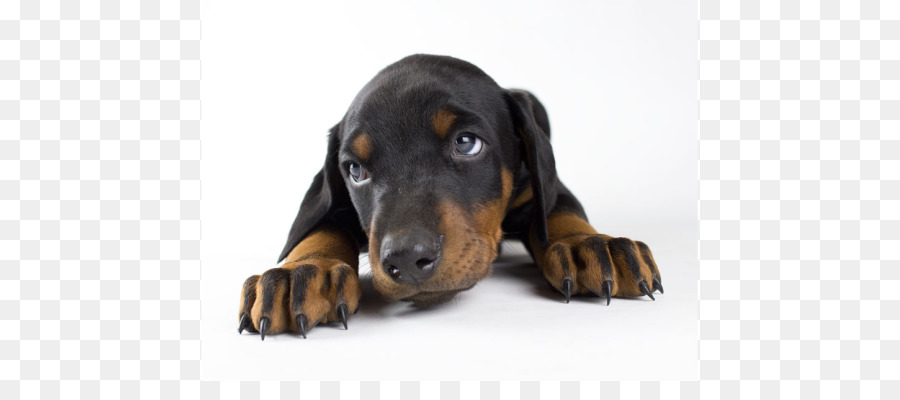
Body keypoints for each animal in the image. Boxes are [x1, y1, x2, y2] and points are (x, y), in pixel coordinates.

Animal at [237, 54, 660, 340]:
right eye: (355, 170)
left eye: (466, 143)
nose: (406, 260)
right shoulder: (336, 198)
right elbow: (321, 225)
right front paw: (305, 271)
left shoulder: (540, 184)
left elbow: (559, 209)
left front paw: (585, 243)